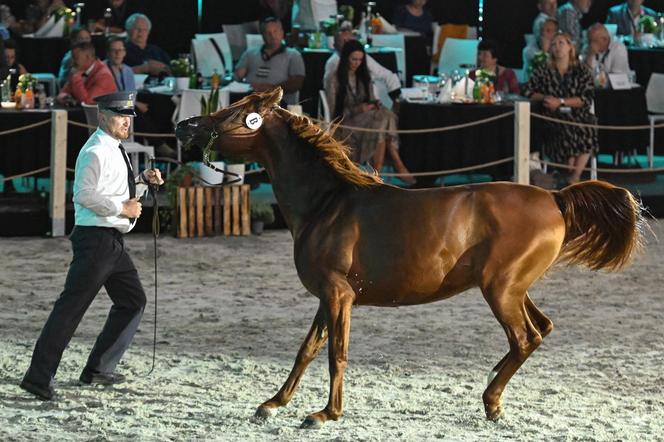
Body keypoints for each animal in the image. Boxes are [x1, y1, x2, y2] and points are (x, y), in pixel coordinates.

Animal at [176, 88, 644, 430]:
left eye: (230, 113)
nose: (183, 126)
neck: (327, 203)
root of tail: (554, 197)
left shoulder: (338, 294)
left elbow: (336, 353)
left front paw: (324, 414)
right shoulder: (327, 297)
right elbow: (307, 349)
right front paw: (272, 404)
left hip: (501, 290)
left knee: (526, 338)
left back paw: (491, 401)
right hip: (513, 288)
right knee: (541, 330)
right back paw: (493, 386)